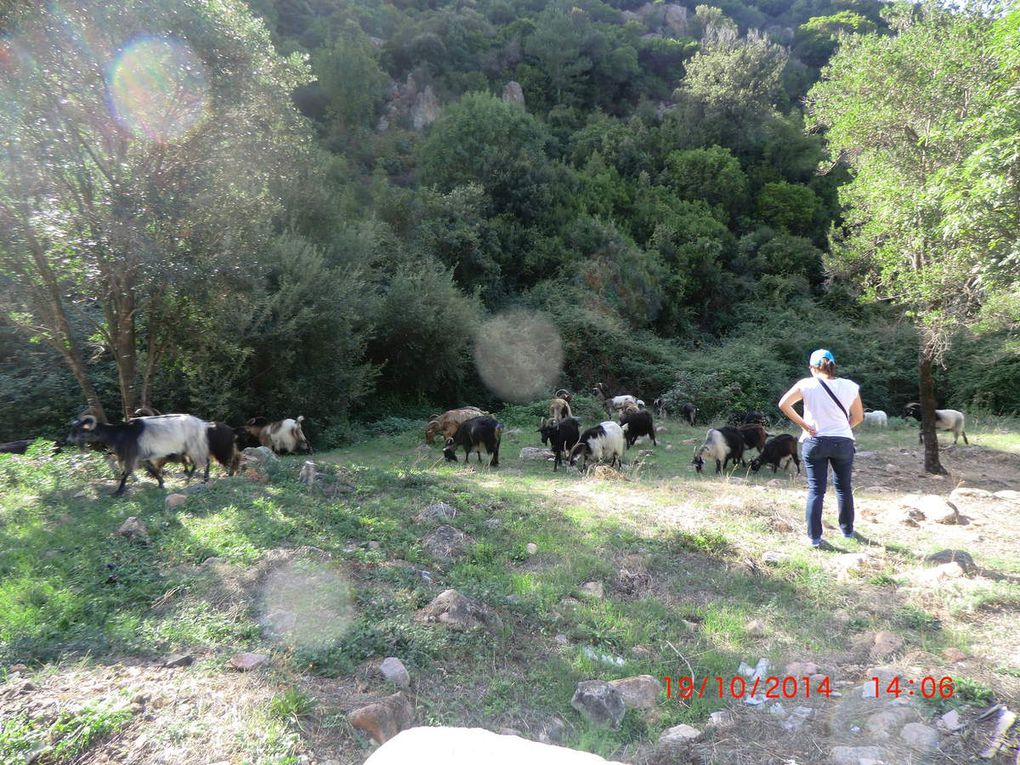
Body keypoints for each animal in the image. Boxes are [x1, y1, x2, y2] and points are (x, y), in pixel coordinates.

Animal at [66, 414, 211, 497]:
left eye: (78, 430)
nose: (67, 440)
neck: (120, 433)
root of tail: (201, 423)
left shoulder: (132, 455)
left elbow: (126, 472)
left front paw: (118, 492)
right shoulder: (142, 457)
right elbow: (151, 469)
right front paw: (161, 483)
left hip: (193, 445)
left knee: (202, 460)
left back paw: (199, 479)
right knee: (202, 461)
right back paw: (195, 478)